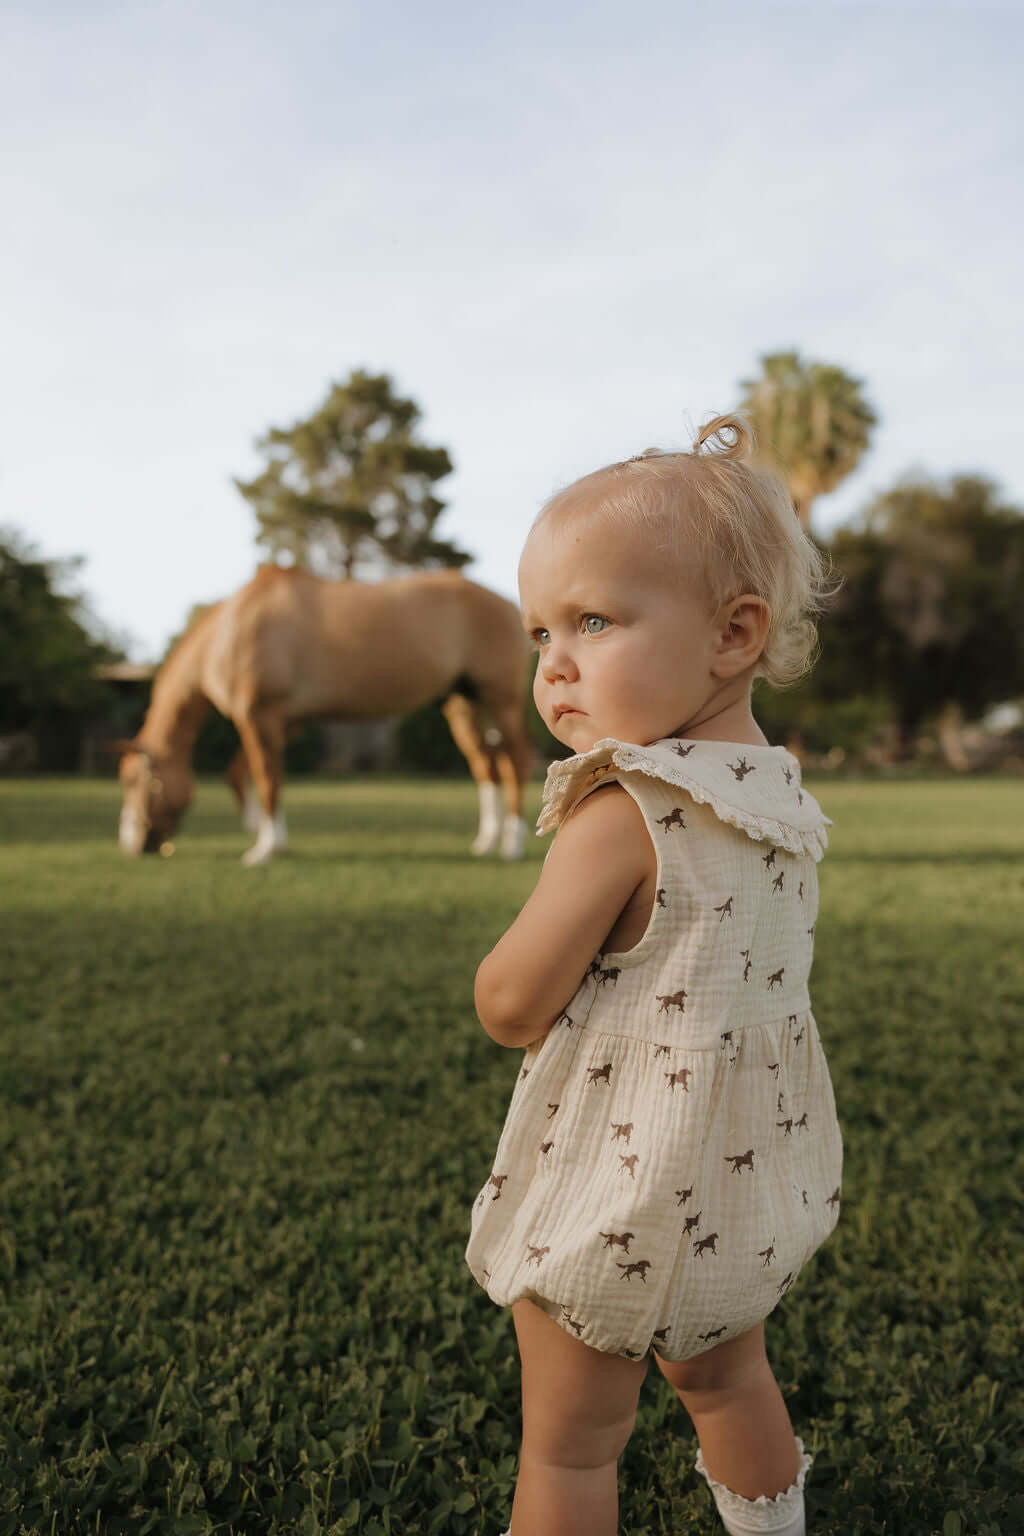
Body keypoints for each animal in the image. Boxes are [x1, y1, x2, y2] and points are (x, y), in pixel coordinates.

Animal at [114, 565, 534, 865]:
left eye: (137, 782)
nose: (132, 844)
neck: (231, 632)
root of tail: (508, 603)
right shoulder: (282, 722)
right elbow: (245, 772)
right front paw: (264, 833)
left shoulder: (260, 716)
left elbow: (266, 778)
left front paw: (265, 847)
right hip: (464, 706)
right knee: (487, 767)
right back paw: (487, 841)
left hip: (503, 700)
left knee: (515, 762)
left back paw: (512, 843)